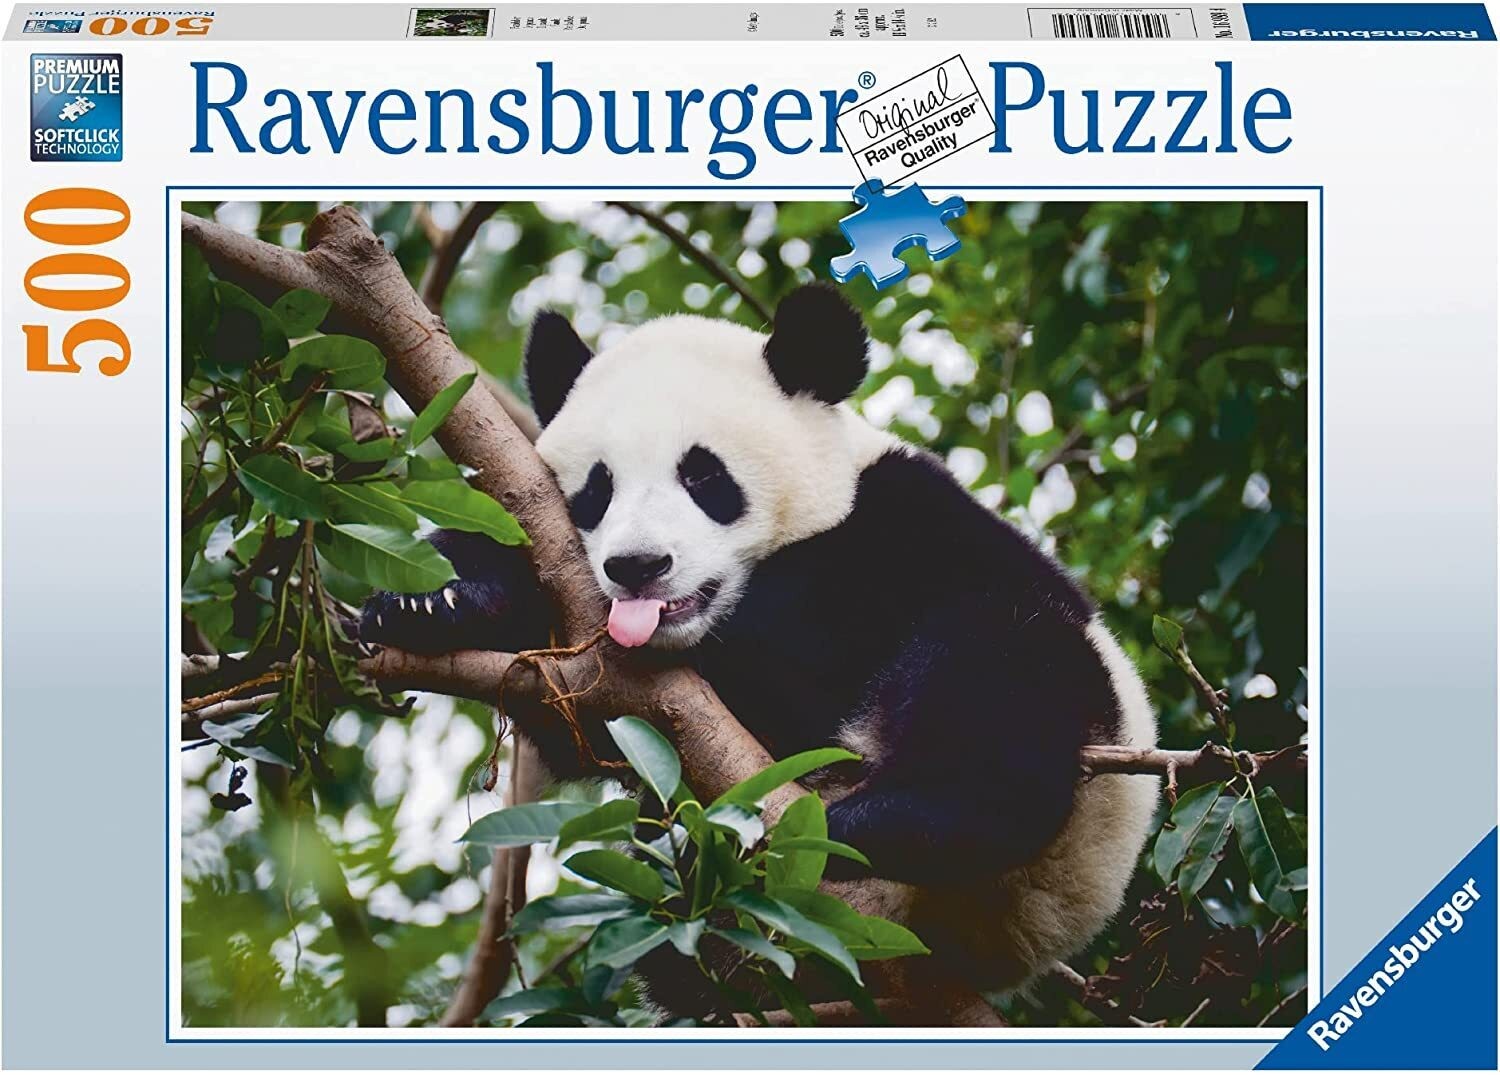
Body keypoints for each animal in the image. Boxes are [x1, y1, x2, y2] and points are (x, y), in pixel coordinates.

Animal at [362, 283, 1159, 1001]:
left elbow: (796, 652)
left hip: (1068, 807)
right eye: (597, 488)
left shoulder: (900, 529)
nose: (639, 566)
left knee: (997, 673)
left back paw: (885, 821)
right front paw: (431, 599)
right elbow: (579, 723)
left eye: (704, 476)